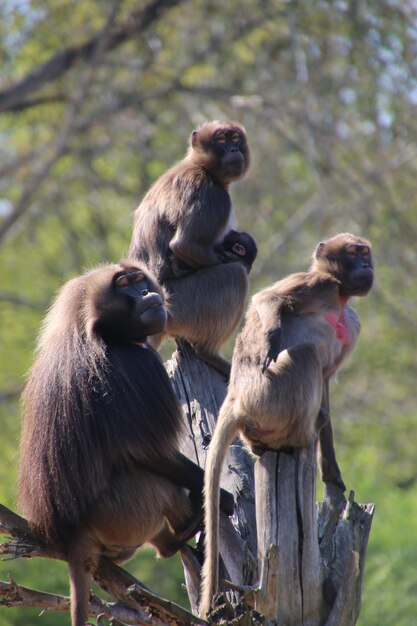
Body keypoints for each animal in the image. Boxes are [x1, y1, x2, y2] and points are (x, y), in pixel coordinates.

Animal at [17, 258, 234, 624]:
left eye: (138, 280)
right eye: (124, 285)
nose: (147, 293)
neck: (93, 332)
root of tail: (71, 537)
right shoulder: (137, 363)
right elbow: (148, 452)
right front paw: (222, 498)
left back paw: (174, 541)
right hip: (122, 512)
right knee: (159, 485)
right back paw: (186, 527)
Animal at [129, 121, 254, 376]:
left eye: (235, 138)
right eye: (222, 140)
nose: (234, 150)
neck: (198, 166)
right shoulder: (211, 194)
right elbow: (184, 245)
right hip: (183, 306)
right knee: (235, 276)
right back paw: (208, 353)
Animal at [198, 230, 374, 616]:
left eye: (365, 253)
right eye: (354, 253)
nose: (367, 266)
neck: (340, 300)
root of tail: (236, 399)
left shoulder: (353, 325)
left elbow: (326, 382)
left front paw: (333, 475)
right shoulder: (317, 284)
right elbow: (269, 301)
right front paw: (265, 342)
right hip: (266, 397)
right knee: (304, 356)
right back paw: (299, 436)